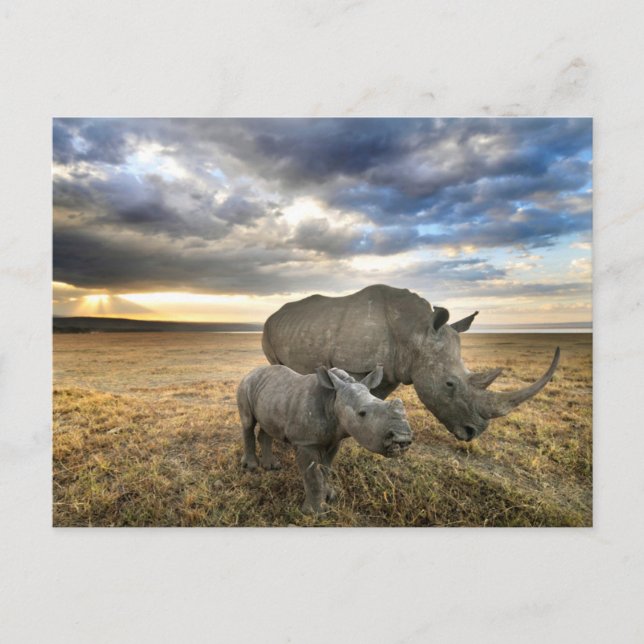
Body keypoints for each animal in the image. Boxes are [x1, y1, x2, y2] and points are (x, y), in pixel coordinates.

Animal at [236, 364, 412, 514]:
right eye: (362, 414)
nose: (402, 438)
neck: (333, 398)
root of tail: (251, 372)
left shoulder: (334, 439)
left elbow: (326, 468)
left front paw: (329, 496)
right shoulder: (306, 442)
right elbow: (313, 475)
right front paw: (316, 512)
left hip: (270, 394)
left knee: (267, 426)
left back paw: (271, 467)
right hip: (245, 385)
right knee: (248, 423)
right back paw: (251, 467)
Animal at [262, 284, 560, 442]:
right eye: (449, 384)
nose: (473, 432)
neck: (415, 332)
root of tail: (274, 314)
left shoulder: (392, 369)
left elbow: (374, 399)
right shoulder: (355, 364)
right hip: (268, 328)